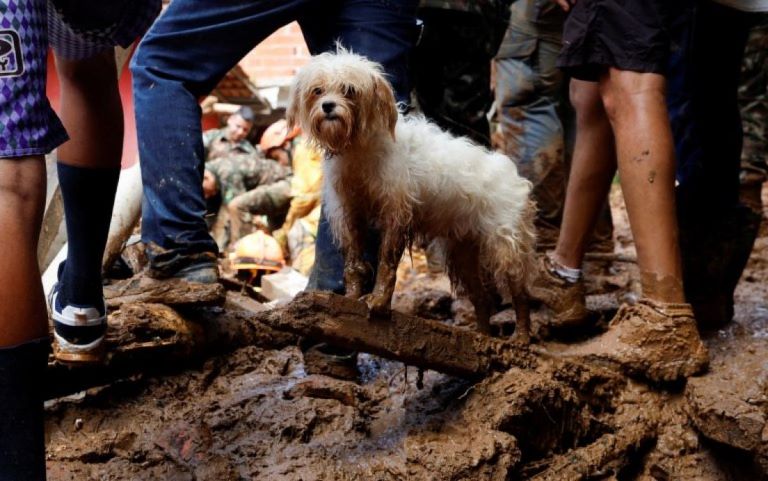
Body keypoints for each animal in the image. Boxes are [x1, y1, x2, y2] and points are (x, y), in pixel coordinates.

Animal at [286, 49, 536, 342]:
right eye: (318, 90)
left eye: (349, 90)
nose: (328, 106)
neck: (359, 148)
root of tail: (514, 176)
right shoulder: (350, 213)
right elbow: (353, 264)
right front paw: (350, 298)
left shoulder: (396, 213)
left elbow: (387, 263)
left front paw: (378, 303)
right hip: (462, 255)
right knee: (482, 298)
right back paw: (482, 336)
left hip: (506, 248)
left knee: (519, 295)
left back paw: (521, 337)